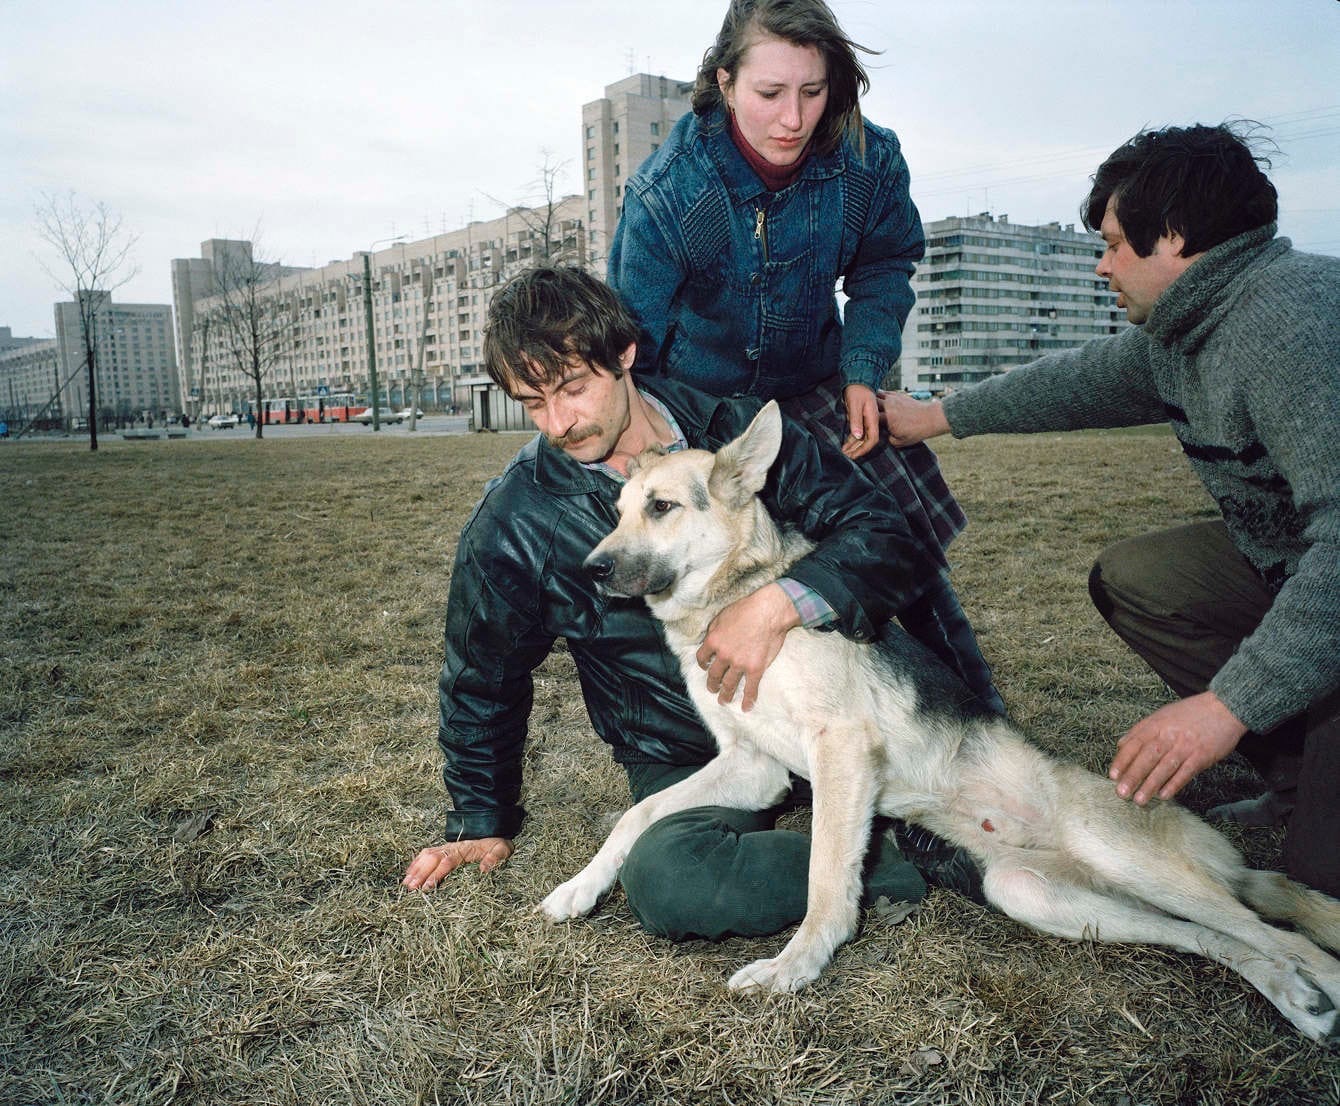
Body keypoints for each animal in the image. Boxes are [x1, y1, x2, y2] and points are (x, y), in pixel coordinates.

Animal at [536, 402, 1340, 1040]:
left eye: (662, 508)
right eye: (615, 512)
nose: (589, 569)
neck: (737, 595)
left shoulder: (840, 751)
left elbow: (826, 879)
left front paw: (798, 965)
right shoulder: (754, 768)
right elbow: (638, 816)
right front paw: (581, 888)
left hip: (1123, 858)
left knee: (1283, 935)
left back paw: (1309, 985)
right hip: (1039, 895)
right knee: (1229, 940)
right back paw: (1293, 999)